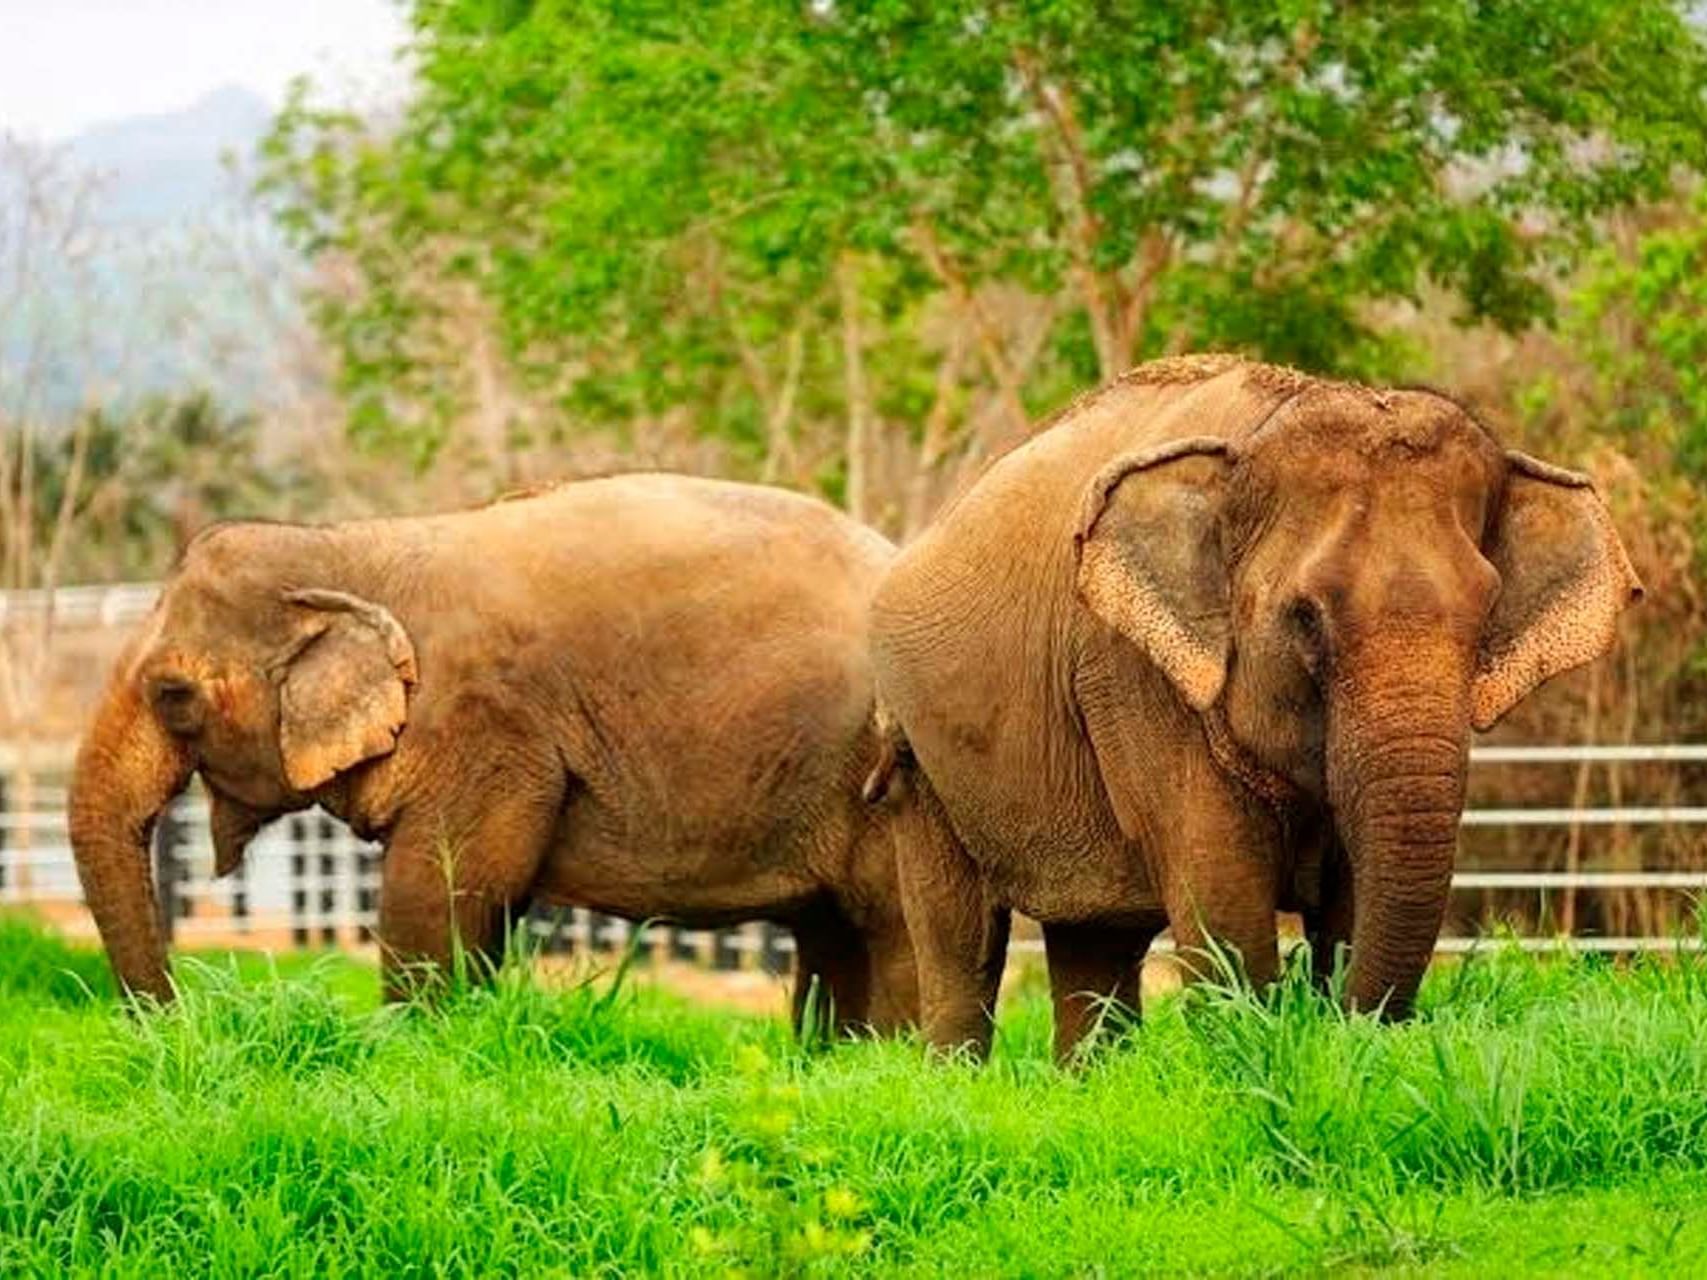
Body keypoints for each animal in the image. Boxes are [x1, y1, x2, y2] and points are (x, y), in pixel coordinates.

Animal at [69, 477, 935, 1037]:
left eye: (173, 695)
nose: (184, 1024)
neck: (349, 548)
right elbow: (483, 905)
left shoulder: (485, 728)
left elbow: (434, 894)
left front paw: (411, 1051)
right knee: (831, 935)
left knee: (893, 929)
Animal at [873, 353, 1645, 1064]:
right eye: (1304, 616)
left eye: (1486, 613)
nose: (1343, 1026)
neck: (1260, 428)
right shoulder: (1131, 673)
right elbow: (1223, 902)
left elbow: (1349, 897)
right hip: (916, 753)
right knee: (961, 943)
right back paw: (958, 1081)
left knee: (1094, 941)